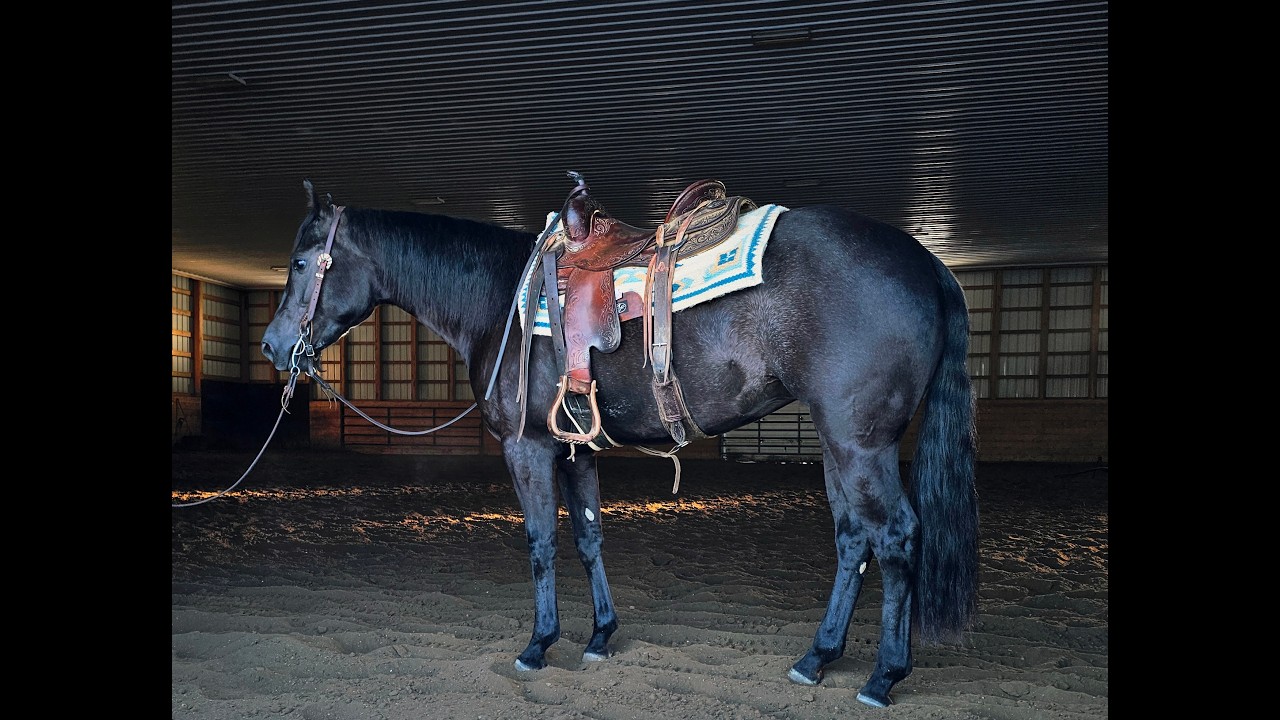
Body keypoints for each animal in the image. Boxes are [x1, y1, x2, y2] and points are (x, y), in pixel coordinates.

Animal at [261, 177, 978, 708]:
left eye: (299, 263)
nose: (271, 346)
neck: (501, 300)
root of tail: (926, 261)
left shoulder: (526, 446)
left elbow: (542, 542)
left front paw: (539, 644)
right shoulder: (575, 447)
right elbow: (587, 534)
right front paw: (600, 636)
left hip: (862, 445)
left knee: (895, 537)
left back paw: (882, 677)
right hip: (838, 444)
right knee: (853, 538)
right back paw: (817, 657)